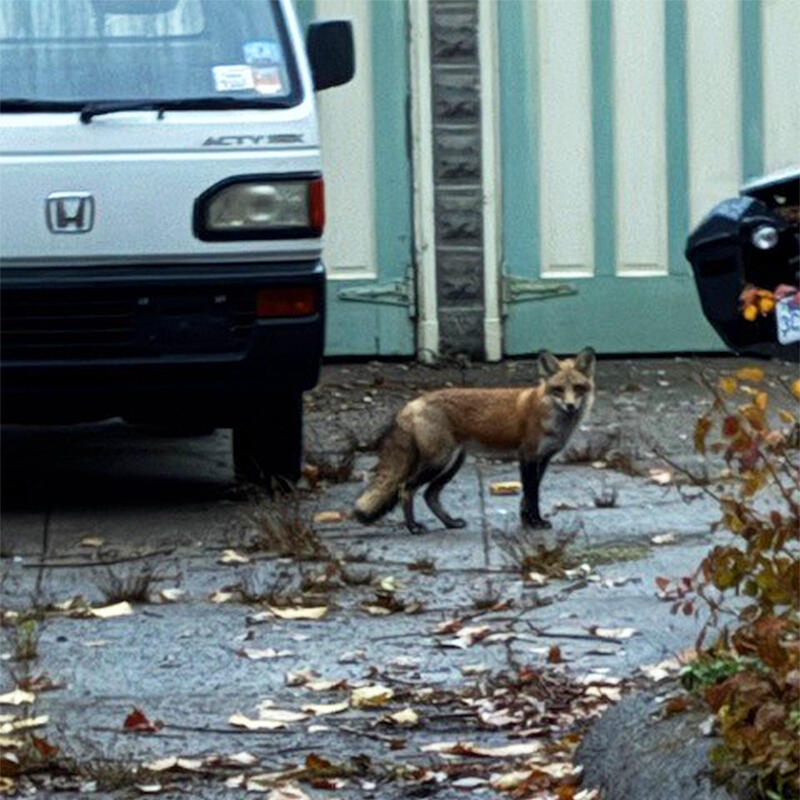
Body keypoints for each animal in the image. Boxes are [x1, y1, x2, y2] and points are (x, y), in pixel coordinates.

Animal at [353, 347, 596, 534]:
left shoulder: (542, 459)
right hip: (438, 462)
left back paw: (450, 523)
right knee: (406, 488)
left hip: (452, 464)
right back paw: (413, 527)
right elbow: (532, 495)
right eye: (558, 389)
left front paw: (527, 522)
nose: (571, 406)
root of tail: (412, 403)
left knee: (430, 495)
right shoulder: (527, 456)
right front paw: (535, 522)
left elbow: (527, 497)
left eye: (578, 388)